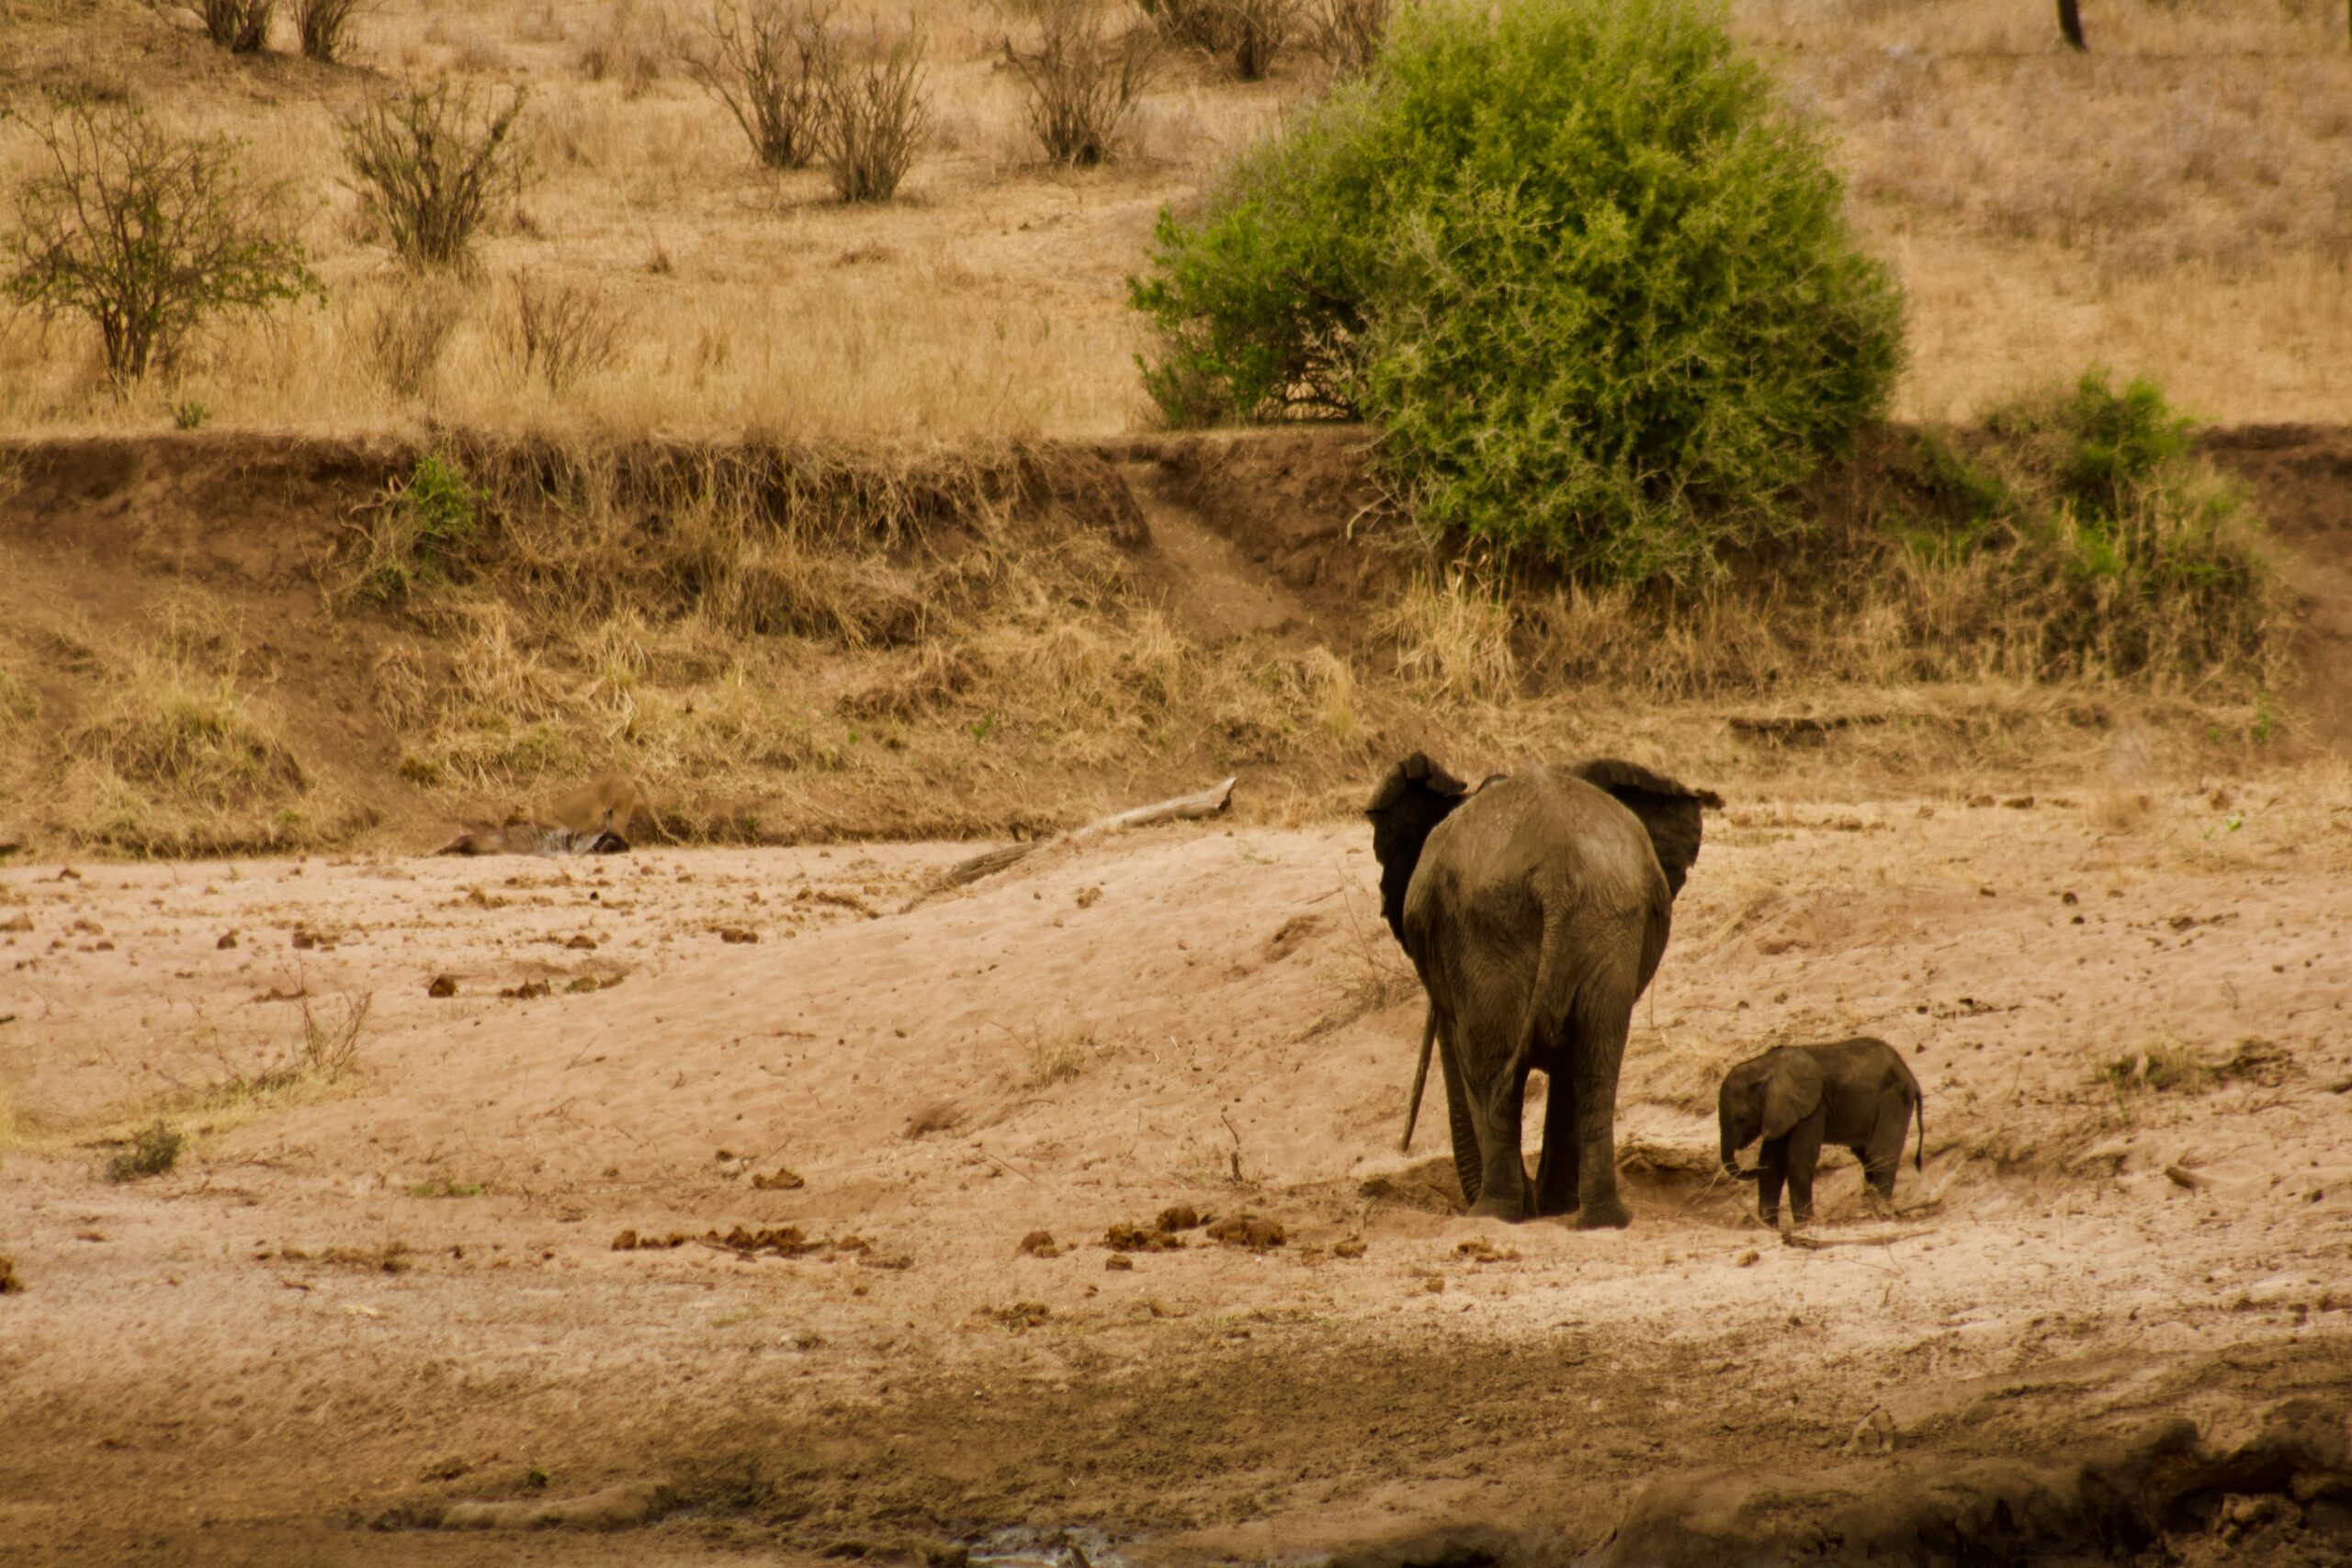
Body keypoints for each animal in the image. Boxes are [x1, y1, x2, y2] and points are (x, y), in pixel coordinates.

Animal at [1368, 753, 1720, 1227]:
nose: (1402, 1147)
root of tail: (1557, 875)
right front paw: (1552, 1207)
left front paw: (1539, 1207)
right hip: (1601, 931)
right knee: (1594, 1064)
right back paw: (1598, 1219)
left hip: (1487, 934)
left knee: (1490, 1067)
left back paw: (1494, 1214)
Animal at [1717, 1038, 1925, 1227]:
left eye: (1741, 1117)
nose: (1750, 1169)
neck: (1764, 1066)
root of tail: (1911, 1076)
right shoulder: (1781, 1111)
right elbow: (1771, 1163)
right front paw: (1769, 1228)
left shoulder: (1813, 1108)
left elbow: (1798, 1161)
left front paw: (1805, 1224)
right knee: (1866, 1157)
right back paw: (1870, 1208)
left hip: (1895, 1098)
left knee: (1880, 1154)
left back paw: (1882, 1211)